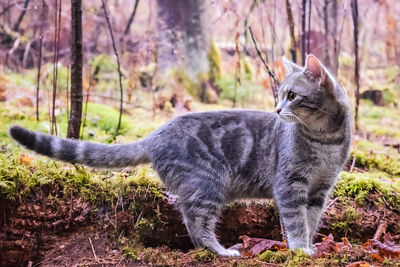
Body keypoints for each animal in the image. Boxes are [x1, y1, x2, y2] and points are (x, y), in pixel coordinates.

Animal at [9, 54, 350, 258]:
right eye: (281, 96)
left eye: (291, 96)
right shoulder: (290, 183)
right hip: (208, 183)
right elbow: (295, 220)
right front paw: (301, 249)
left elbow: (311, 219)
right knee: (196, 222)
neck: (325, 140)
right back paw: (221, 251)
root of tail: (157, 134)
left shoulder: (320, 188)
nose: (278, 110)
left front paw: (309, 246)